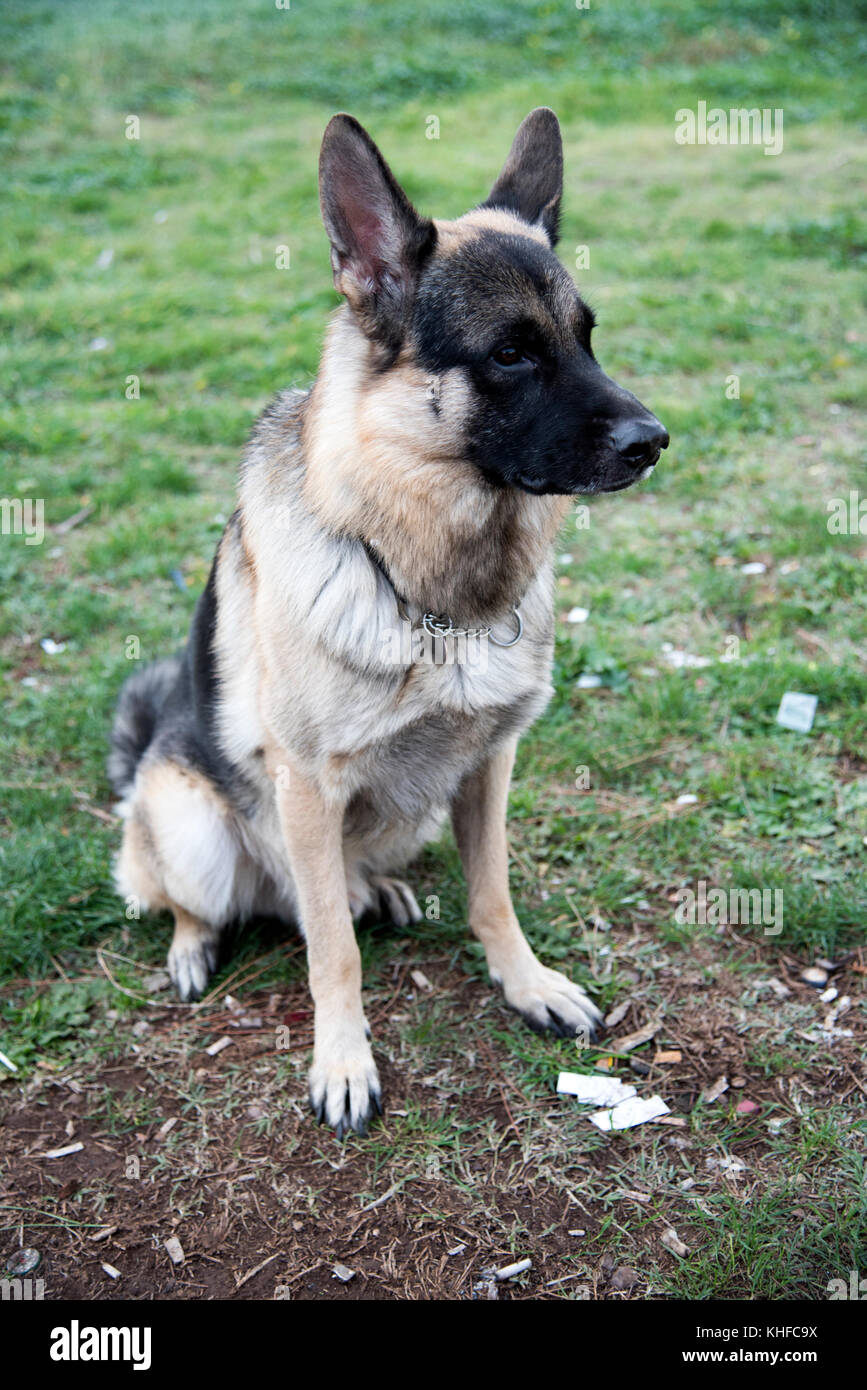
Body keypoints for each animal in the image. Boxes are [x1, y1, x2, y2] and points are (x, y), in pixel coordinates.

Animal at [106, 105, 664, 1128]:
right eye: (510, 351)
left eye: (586, 338)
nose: (654, 442)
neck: (431, 592)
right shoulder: (307, 786)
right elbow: (332, 949)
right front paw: (342, 1062)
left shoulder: (487, 764)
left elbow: (493, 894)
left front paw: (526, 985)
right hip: (194, 826)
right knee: (202, 899)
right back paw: (194, 948)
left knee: (340, 884)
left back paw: (381, 891)